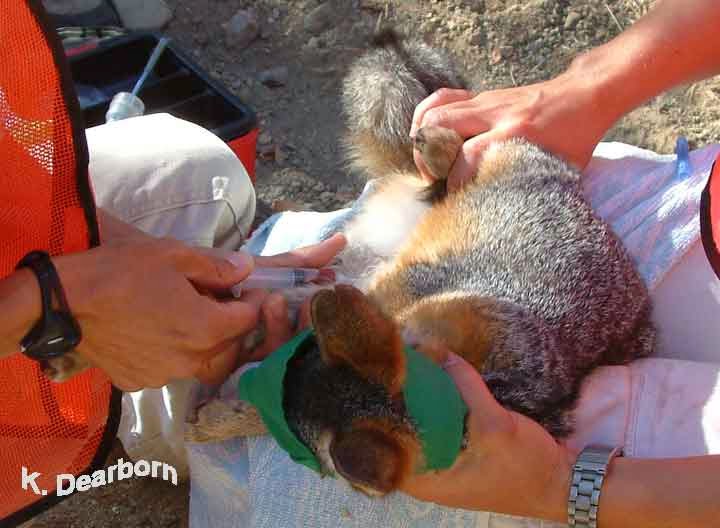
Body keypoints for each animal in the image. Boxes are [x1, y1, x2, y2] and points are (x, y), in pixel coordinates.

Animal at [185, 29, 655, 497]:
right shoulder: (403, 292)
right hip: (500, 158)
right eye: (304, 353)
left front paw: (222, 417)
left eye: (296, 446)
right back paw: (437, 148)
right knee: (463, 157)